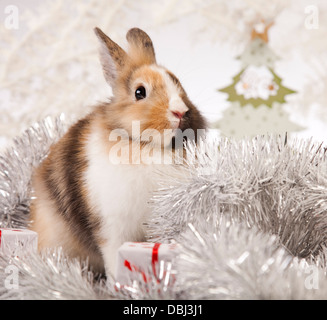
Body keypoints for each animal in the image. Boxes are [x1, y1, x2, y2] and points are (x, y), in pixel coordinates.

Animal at [29, 27, 206, 276]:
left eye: (179, 84)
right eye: (140, 92)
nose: (180, 111)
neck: (144, 145)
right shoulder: (112, 228)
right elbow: (113, 258)